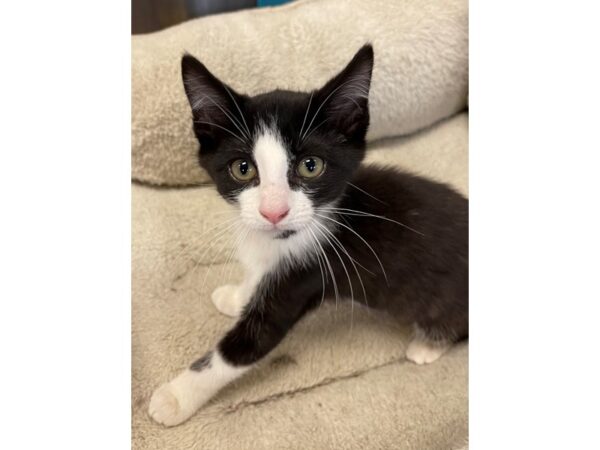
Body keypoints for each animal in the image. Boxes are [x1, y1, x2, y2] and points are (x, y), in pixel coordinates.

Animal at [149, 44, 468, 426]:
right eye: (243, 169)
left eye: (310, 166)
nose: (273, 212)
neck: (279, 240)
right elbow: (253, 280)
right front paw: (237, 296)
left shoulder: (308, 274)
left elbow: (241, 347)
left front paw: (174, 398)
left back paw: (427, 345)